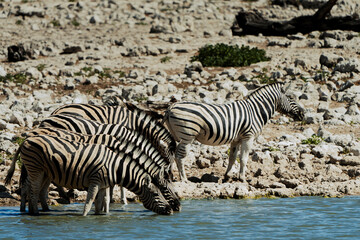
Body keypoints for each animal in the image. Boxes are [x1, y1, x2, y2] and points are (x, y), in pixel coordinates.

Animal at [5, 125, 180, 212]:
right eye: (164, 189)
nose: (177, 207)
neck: (120, 149)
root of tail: (27, 136)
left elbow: (106, 196)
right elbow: (108, 195)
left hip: (46, 171)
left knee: (38, 189)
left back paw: (43, 209)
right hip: (35, 168)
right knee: (28, 187)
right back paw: (28, 211)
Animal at [162, 82, 304, 182]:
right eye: (291, 97)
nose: (303, 115)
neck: (255, 111)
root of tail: (171, 107)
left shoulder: (236, 139)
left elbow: (232, 158)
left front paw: (227, 176)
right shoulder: (248, 137)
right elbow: (244, 158)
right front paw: (242, 178)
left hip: (177, 136)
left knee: (172, 154)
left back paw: (171, 177)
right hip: (187, 136)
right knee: (179, 157)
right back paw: (184, 179)